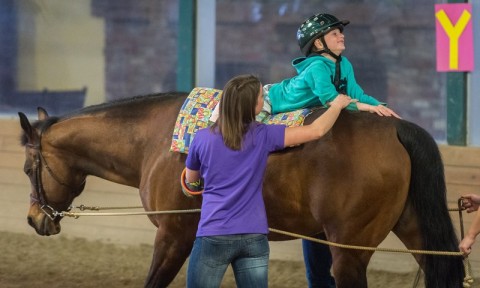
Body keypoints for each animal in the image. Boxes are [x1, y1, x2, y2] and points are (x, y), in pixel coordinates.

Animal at [18, 91, 464, 286]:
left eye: (27, 168)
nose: (35, 218)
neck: (155, 140)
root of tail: (396, 128)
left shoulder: (174, 236)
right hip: (415, 232)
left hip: (349, 251)